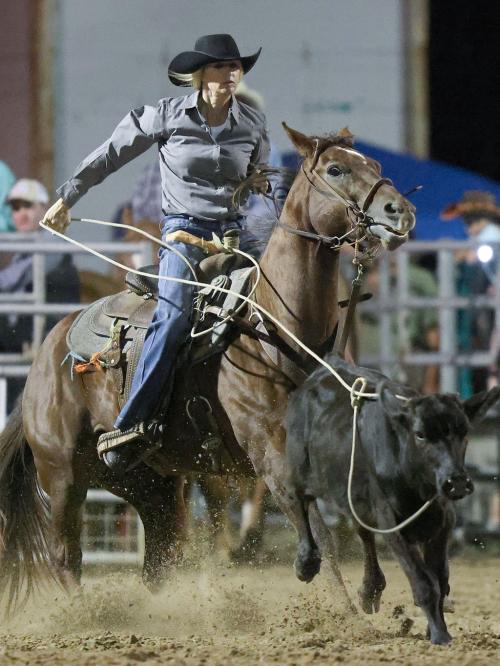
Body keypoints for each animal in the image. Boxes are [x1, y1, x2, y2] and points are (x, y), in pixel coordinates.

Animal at [0, 124, 415, 610]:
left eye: (376, 165)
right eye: (336, 169)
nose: (401, 211)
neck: (278, 331)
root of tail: (48, 351)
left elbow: (357, 508)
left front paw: (371, 586)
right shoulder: (271, 453)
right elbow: (320, 541)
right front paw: (339, 599)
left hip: (151, 484)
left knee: (158, 559)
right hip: (63, 474)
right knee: (66, 558)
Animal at [285, 353, 500, 645]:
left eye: (464, 431)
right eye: (420, 434)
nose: (455, 481)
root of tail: (323, 370)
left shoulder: (443, 522)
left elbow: (440, 579)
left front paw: (435, 628)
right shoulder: (393, 524)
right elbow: (424, 583)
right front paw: (440, 635)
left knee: (362, 532)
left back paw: (370, 589)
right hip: (297, 467)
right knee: (299, 503)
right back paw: (306, 562)